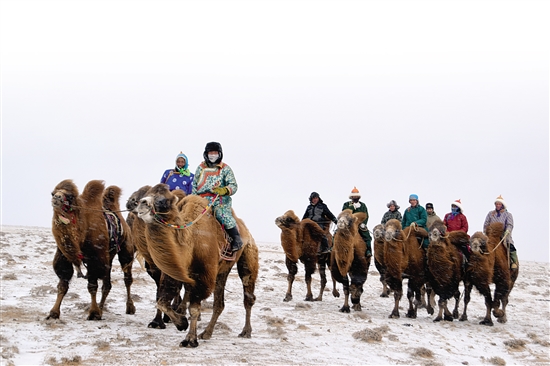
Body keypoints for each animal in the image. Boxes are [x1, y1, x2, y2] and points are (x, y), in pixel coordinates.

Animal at [48, 179, 137, 320]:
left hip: (125, 250)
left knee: (127, 279)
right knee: (107, 285)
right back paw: (101, 308)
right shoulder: (64, 256)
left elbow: (92, 286)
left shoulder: (95, 258)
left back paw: (129, 307)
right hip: (108, 256)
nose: (57, 197)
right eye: (53, 193)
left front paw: (94, 313)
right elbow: (63, 284)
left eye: (70, 196)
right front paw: (54, 312)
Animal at [137, 184, 260, 348]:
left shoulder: (204, 274)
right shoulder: (174, 271)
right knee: (219, 303)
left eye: (163, 200)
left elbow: (194, 308)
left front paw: (189, 339)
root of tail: (245, 230)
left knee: (248, 294)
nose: (142, 203)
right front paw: (182, 323)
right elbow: (162, 302)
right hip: (222, 271)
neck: (191, 240)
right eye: (148, 193)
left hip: (247, 254)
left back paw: (246, 331)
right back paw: (206, 333)